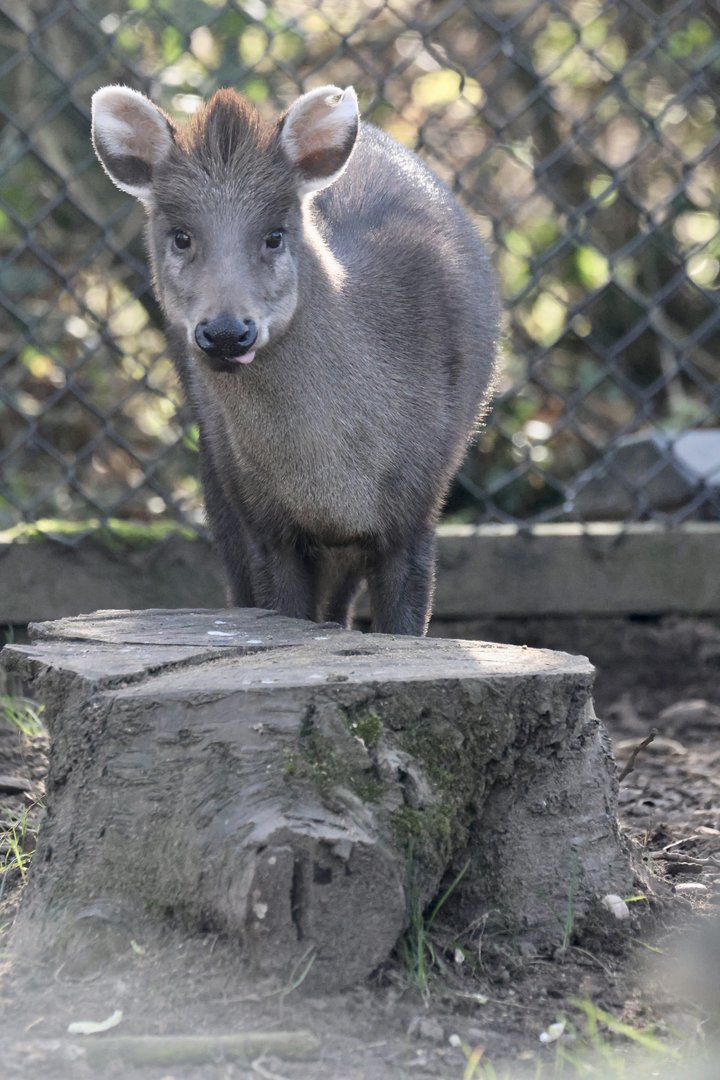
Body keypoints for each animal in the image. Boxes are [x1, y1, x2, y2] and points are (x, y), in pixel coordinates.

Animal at [91, 82, 499, 635]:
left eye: (274, 235)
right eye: (181, 236)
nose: (226, 332)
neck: (334, 482)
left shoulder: (417, 507)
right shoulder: (264, 523)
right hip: (215, 468)